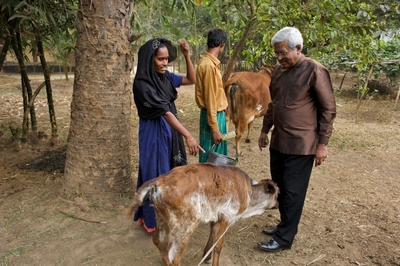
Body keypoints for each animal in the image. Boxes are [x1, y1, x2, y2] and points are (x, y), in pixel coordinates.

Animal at [125, 163, 278, 264]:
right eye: (277, 194)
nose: (277, 205)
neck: (249, 195)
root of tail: (157, 183)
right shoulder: (227, 216)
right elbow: (218, 245)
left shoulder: (215, 216)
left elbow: (212, 237)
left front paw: (206, 256)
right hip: (186, 225)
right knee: (173, 256)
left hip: (162, 219)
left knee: (158, 242)